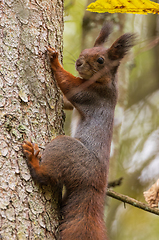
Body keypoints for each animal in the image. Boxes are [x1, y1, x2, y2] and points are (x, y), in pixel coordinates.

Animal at [22, 24, 135, 240]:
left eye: (101, 60)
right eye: (84, 51)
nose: (79, 62)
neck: (105, 82)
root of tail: (94, 186)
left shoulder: (92, 94)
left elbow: (69, 85)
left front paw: (55, 60)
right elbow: (66, 102)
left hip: (67, 149)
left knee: (47, 176)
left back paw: (33, 159)